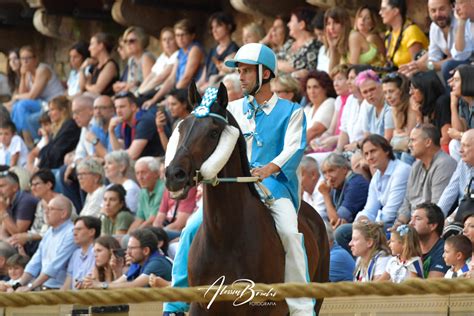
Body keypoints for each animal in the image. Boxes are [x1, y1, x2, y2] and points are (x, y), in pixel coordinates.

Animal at [167, 82, 330, 314]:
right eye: (181, 128)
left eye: (213, 132)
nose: (174, 174)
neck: (225, 238)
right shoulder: (201, 306)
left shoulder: (262, 307)